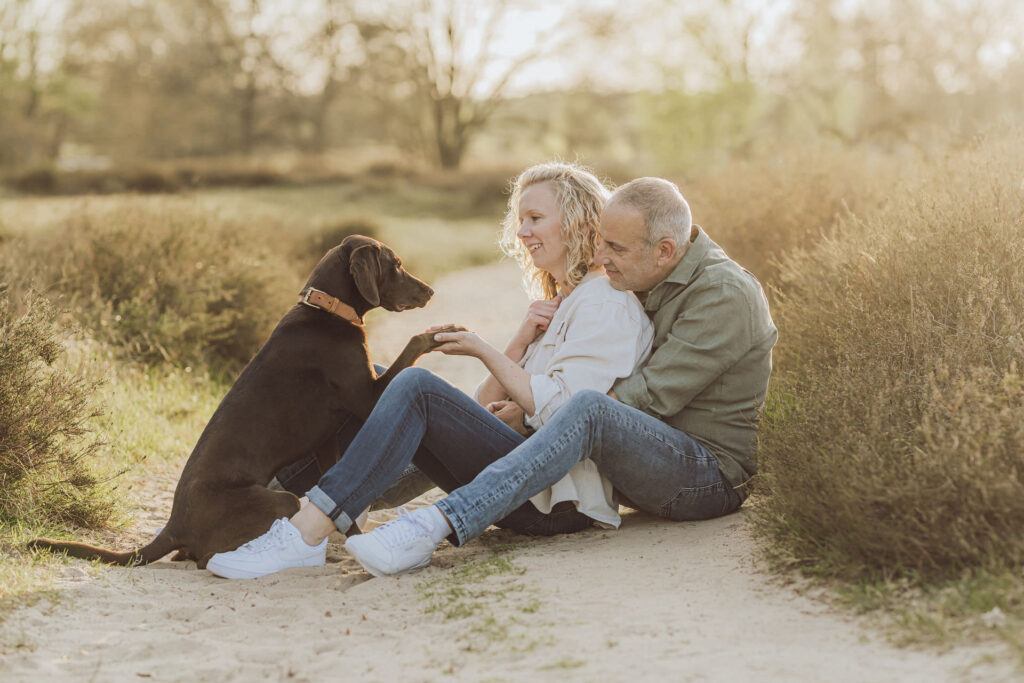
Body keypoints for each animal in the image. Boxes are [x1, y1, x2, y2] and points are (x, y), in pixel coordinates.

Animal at [29, 236, 454, 573]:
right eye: (396, 264)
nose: (431, 291)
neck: (327, 309)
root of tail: (175, 524)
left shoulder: (325, 439)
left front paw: (350, 536)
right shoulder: (368, 396)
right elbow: (413, 344)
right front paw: (442, 332)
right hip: (278, 500)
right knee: (205, 557)